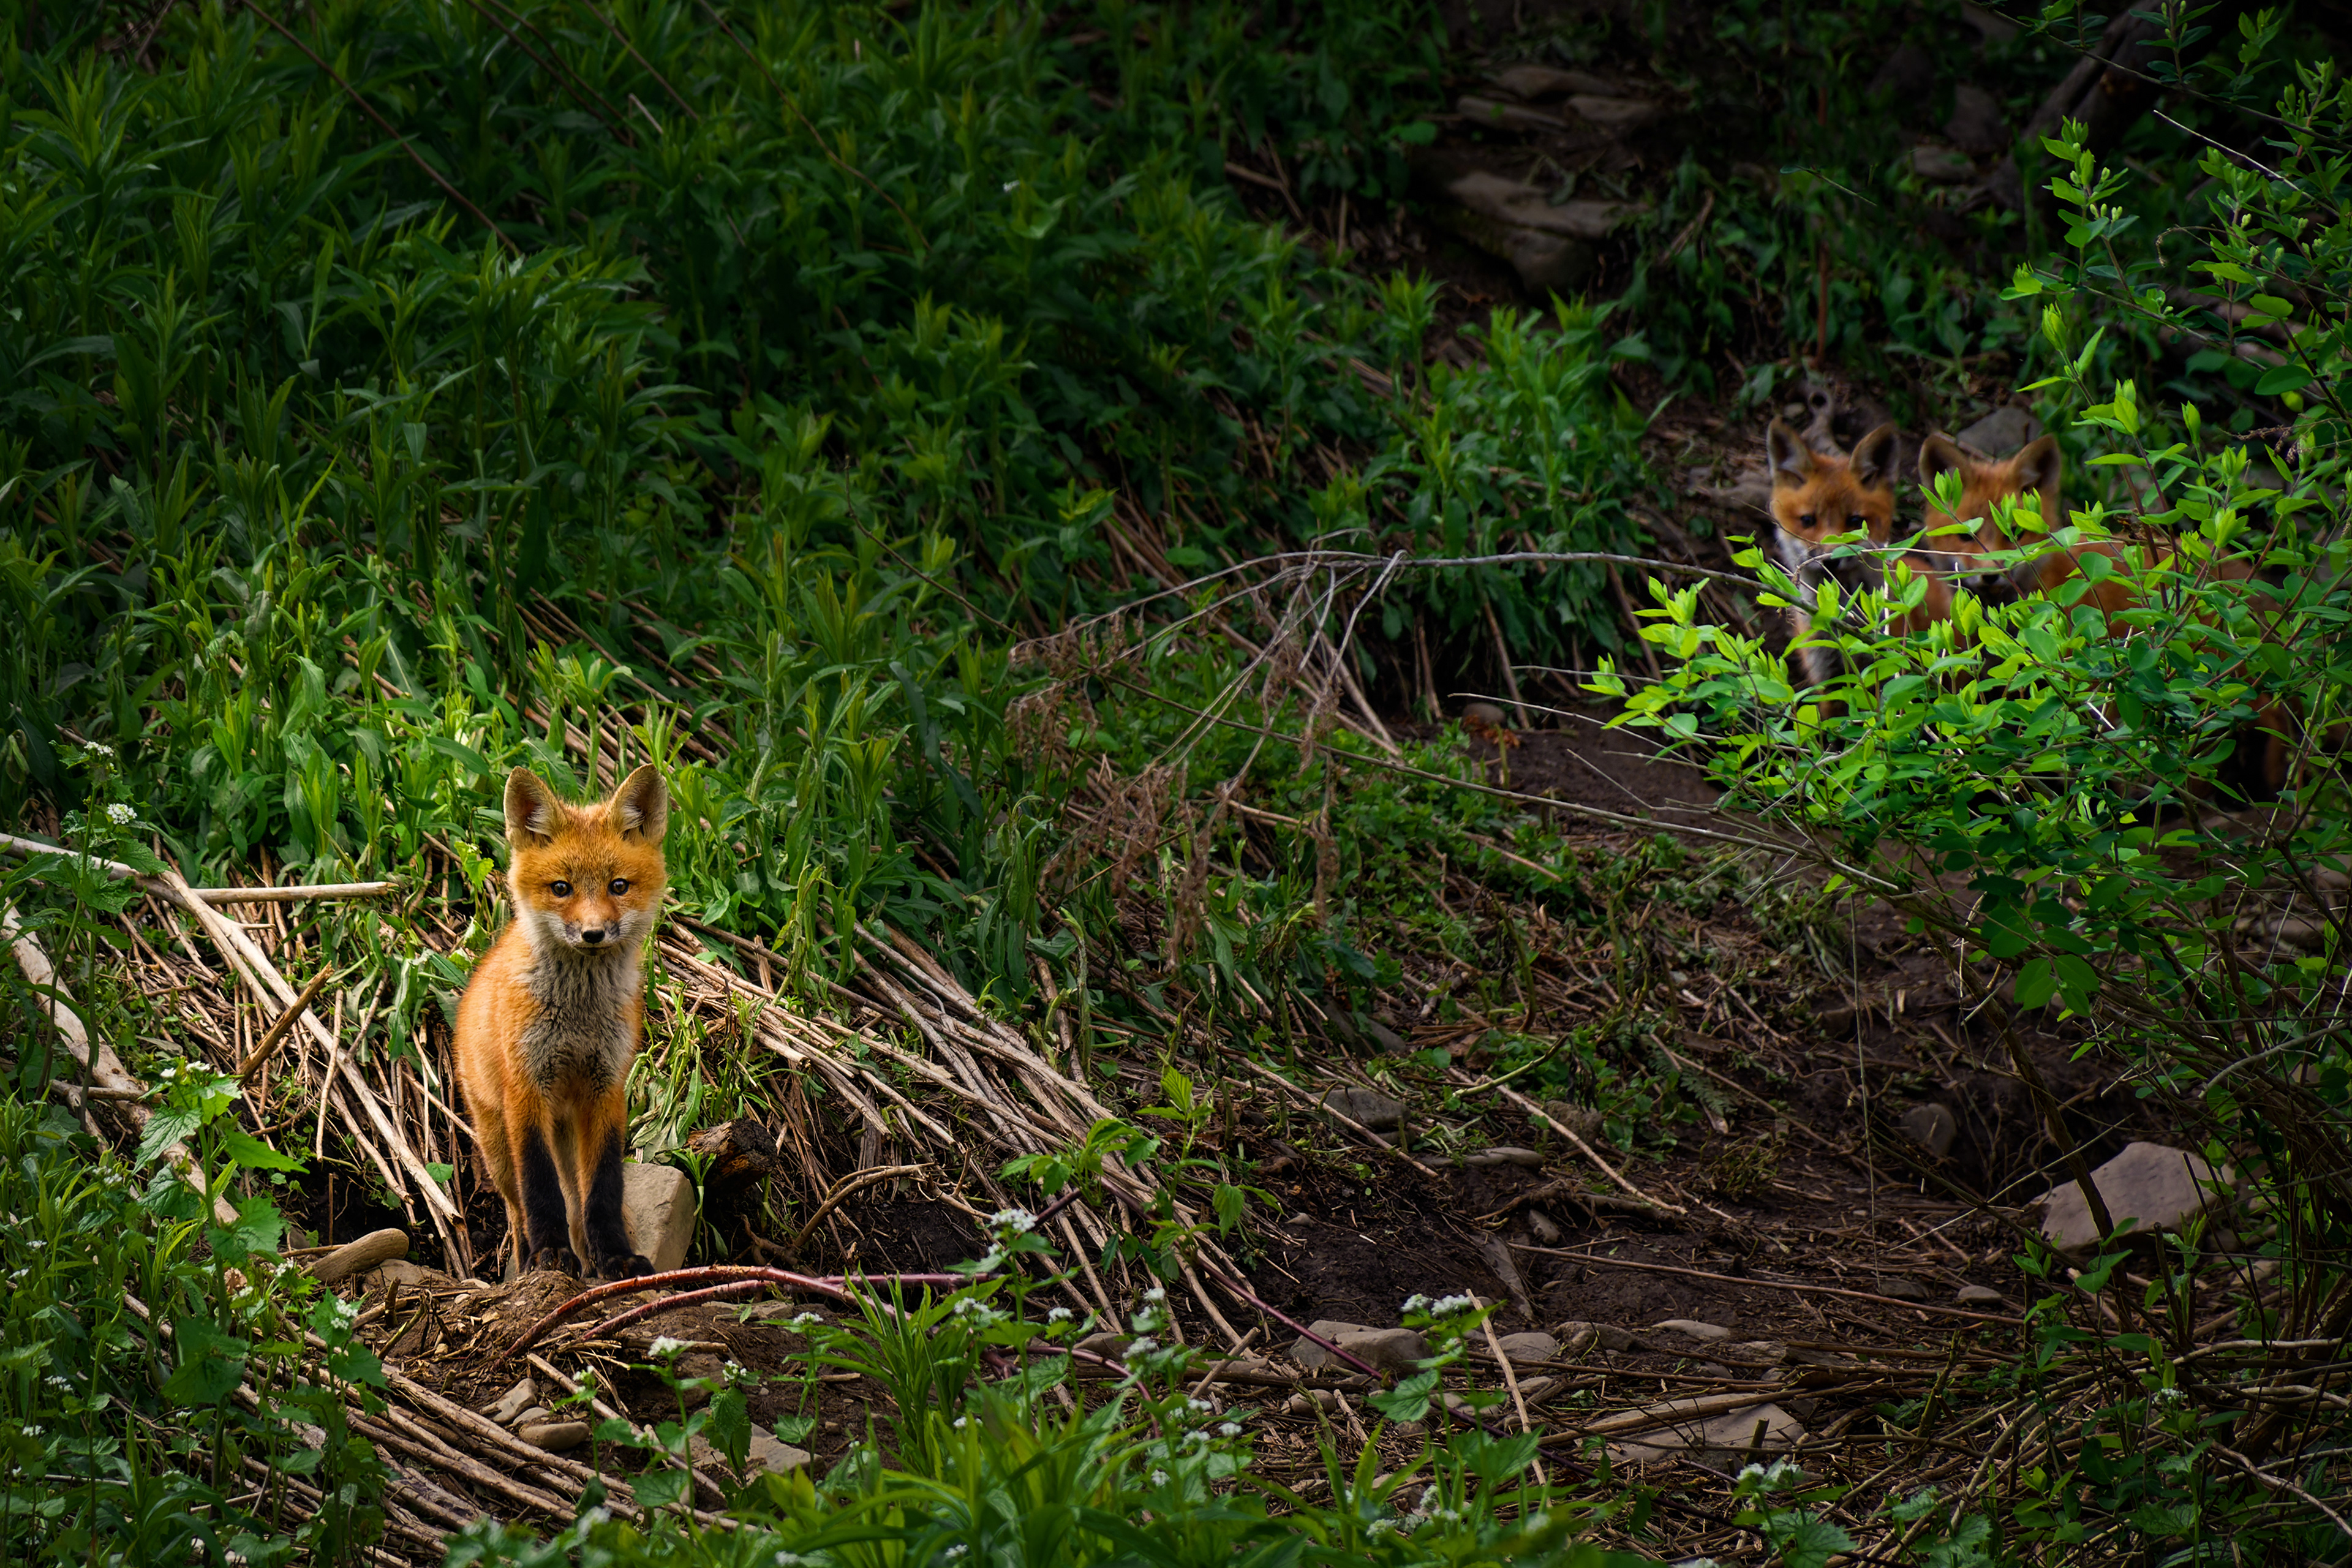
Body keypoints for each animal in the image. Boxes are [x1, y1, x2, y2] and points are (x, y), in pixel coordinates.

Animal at [455, 764, 668, 1281]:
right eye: (561, 888)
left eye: (618, 886)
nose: (593, 933)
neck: (577, 1019)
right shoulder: (527, 1089)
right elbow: (541, 1189)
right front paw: (550, 1254)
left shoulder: (606, 1088)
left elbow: (603, 1190)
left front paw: (614, 1256)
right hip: (497, 1146)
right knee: (517, 1208)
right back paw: (526, 1258)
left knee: (577, 1198)